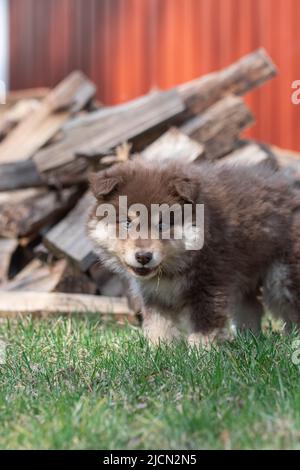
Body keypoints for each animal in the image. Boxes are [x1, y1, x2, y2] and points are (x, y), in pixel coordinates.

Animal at [87, 158, 300, 346]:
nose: (143, 257)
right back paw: (248, 339)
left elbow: (204, 326)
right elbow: (158, 326)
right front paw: (159, 351)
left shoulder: (208, 285)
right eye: (127, 222)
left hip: (283, 276)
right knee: (251, 307)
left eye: (163, 224)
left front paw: (201, 354)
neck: (174, 266)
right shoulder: (154, 295)